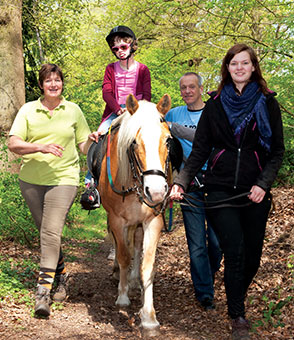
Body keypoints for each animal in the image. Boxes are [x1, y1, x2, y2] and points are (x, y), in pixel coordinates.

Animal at [97, 93, 173, 338]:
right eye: (134, 142)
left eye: (168, 141)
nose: (156, 191)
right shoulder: (117, 220)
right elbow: (123, 255)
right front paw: (122, 297)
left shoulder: (153, 221)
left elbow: (147, 265)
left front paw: (148, 317)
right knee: (123, 248)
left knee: (136, 248)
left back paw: (133, 282)